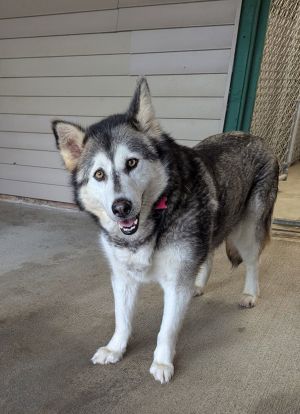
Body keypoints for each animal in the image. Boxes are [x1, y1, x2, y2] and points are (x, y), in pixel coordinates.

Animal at [51, 78, 278, 384]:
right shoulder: (122, 278)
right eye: (99, 174)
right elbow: (122, 319)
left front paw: (162, 362)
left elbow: (167, 329)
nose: (121, 207)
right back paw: (198, 285)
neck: (151, 224)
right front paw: (115, 348)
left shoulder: (176, 282)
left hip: (249, 228)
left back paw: (250, 294)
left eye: (131, 162)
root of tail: (255, 136)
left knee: (253, 261)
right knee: (208, 254)